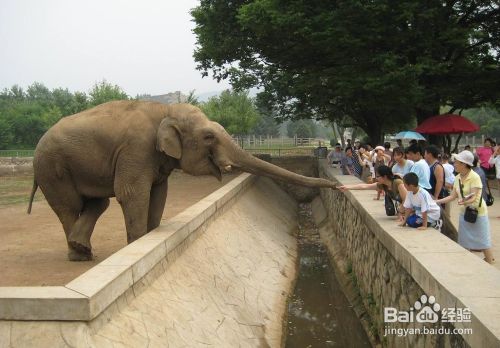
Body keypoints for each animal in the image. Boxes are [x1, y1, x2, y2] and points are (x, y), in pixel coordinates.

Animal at [27, 99, 336, 260]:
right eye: (208, 136)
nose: (336, 185)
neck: (165, 110)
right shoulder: (136, 149)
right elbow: (132, 193)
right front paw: (137, 245)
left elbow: (159, 192)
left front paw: (149, 238)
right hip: (52, 167)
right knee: (70, 206)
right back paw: (79, 256)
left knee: (97, 203)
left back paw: (82, 249)